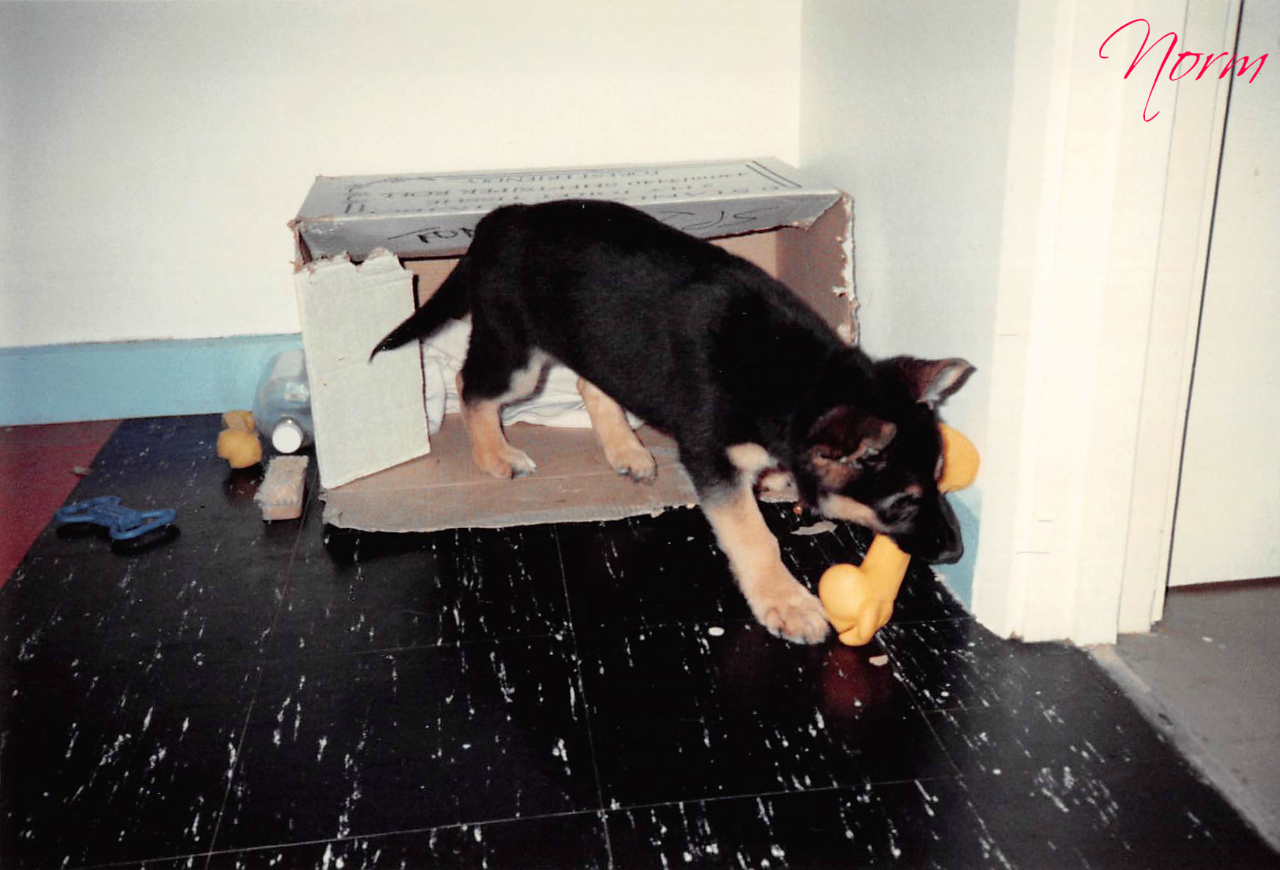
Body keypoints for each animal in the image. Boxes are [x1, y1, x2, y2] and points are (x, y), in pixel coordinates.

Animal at [373, 200, 972, 642]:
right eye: (901, 504)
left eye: (939, 482)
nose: (955, 553)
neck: (796, 379)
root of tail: (498, 218)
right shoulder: (709, 457)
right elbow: (754, 536)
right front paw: (784, 601)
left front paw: (778, 478)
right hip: (517, 356)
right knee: (468, 385)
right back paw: (496, 455)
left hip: (596, 341)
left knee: (591, 384)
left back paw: (627, 451)